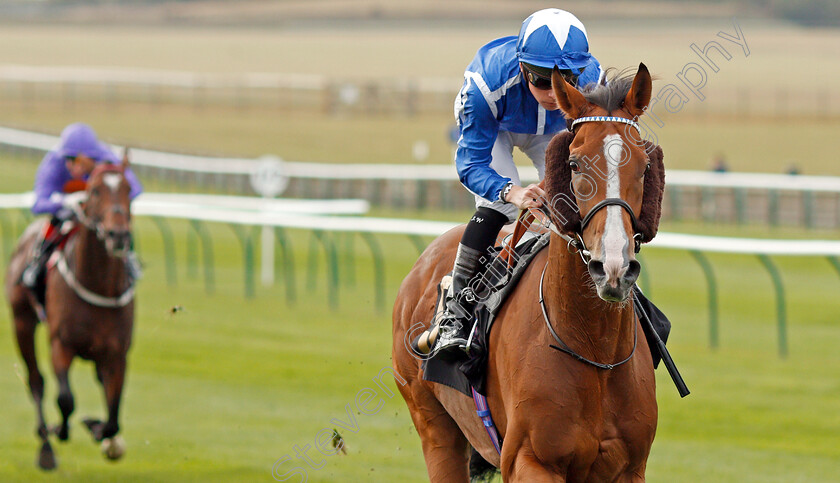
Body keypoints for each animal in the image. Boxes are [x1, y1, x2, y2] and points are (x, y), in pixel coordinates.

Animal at [4, 161, 136, 470]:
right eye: (95, 190)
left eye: (127, 189)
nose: (118, 235)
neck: (98, 284)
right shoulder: (61, 345)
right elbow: (65, 399)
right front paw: (59, 430)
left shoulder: (118, 354)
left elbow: (113, 415)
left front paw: (101, 432)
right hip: (21, 321)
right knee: (36, 381)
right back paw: (46, 447)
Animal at [390, 65, 668, 483]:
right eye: (574, 163)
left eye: (645, 165)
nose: (613, 267)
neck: (595, 350)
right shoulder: (529, 459)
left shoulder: (629, 468)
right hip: (433, 425)